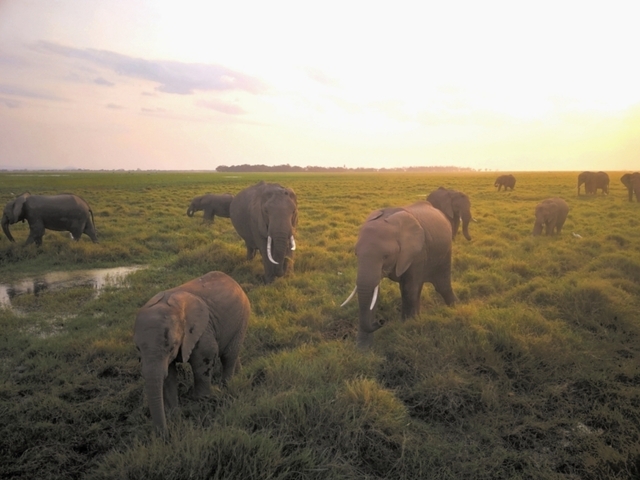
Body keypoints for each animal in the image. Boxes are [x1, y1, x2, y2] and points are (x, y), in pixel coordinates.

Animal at [133, 271, 250, 432]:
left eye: (172, 346)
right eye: (138, 348)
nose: (165, 434)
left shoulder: (202, 330)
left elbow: (205, 359)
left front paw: (202, 401)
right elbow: (169, 374)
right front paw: (173, 413)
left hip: (242, 315)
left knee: (228, 355)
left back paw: (227, 386)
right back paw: (239, 375)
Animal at [341, 201, 457, 349]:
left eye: (386, 256)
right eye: (356, 254)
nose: (381, 321)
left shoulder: (417, 253)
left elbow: (409, 288)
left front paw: (408, 327)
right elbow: (374, 294)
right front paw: (362, 349)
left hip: (445, 250)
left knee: (442, 285)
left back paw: (456, 307)